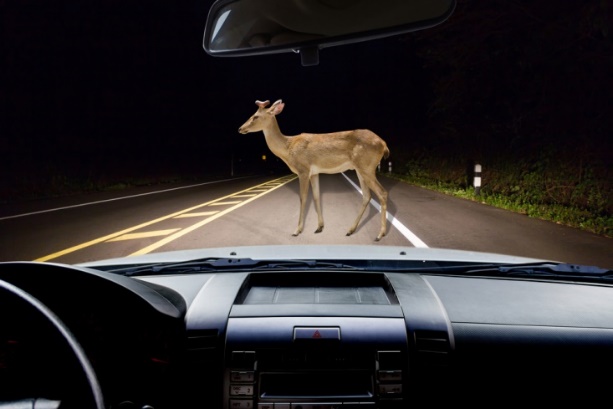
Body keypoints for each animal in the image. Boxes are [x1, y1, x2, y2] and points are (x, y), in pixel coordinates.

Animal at [237, 98, 390, 239]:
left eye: (255, 116)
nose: (240, 128)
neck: (288, 147)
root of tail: (384, 144)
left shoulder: (303, 170)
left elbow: (303, 197)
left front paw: (297, 230)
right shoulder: (314, 173)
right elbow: (316, 196)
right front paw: (319, 227)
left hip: (367, 167)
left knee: (382, 192)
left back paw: (380, 234)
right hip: (360, 169)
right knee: (367, 195)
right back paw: (350, 230)